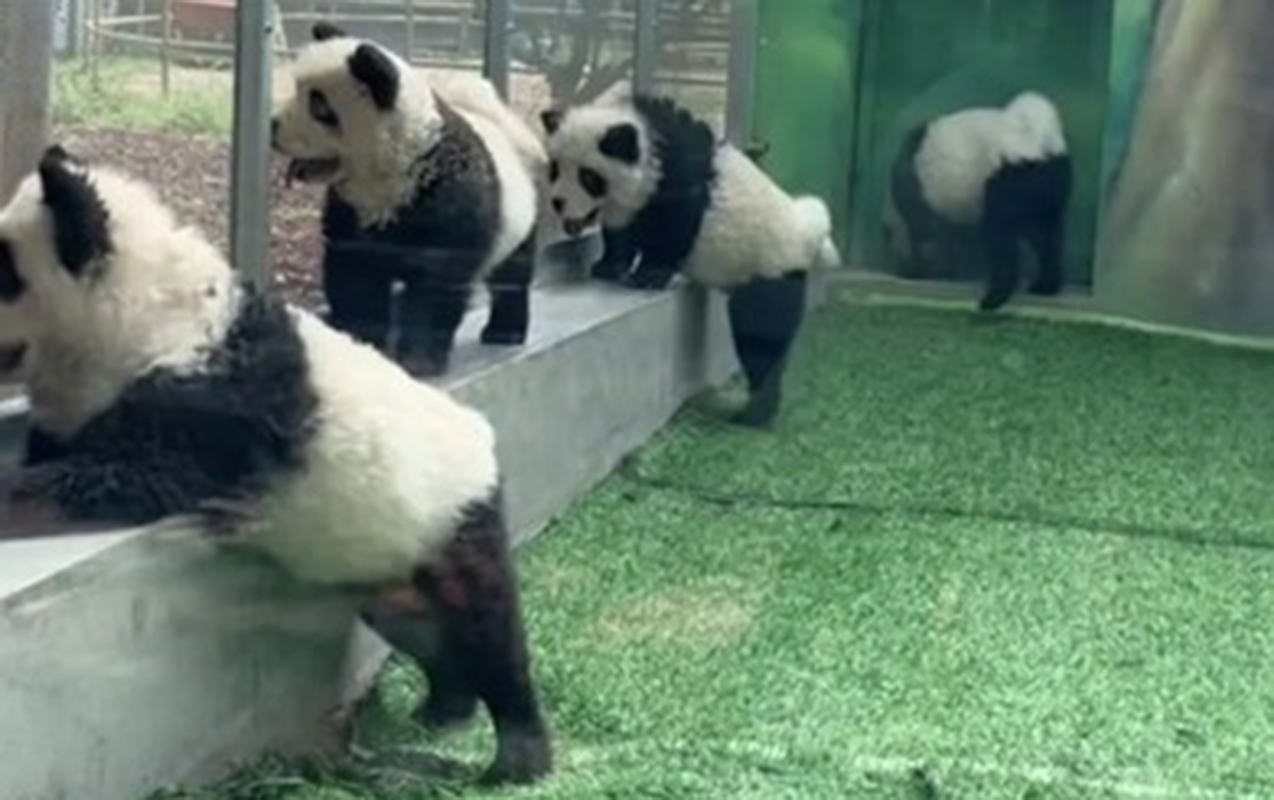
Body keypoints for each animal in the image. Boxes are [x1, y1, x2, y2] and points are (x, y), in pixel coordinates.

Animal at [0, 147, 552, 786]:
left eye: (3, 269)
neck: (143, 305)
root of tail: (482, 438)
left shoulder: (206, 402)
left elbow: (120, 479)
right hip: (388, 559)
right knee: (422, 630)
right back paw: (442, 709)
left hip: (450, 517)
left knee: (487, 627)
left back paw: (517, 756)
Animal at [271, 23, 543, 377]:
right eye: (298, 90)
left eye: (319, 106)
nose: (273, 127)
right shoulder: (350, 211)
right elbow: (356, 276)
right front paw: (363, 344)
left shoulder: (447, 200)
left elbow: (435, 284)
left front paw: (418, 361)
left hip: (523, 212)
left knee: (513, 275)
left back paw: (504, 331)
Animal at [540, 91, 840, 428]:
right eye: (555, 169)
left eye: (589, 177)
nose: (558, 202)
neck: (645, 133)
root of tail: (807, 233)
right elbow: (622, 230)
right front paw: (607, 267)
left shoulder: (680, 175)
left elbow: (675, 224)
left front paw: (648, 275)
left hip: (768, 265)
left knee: (760, 332)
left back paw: (753, 413)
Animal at [888, 91, 1072, 311]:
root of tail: (1037, 142)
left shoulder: (919, 193)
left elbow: (926, 236)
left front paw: (919, 270)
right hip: (1053, 185)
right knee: (1047, 237)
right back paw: (1045, 285)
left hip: (1005, 178)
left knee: (1000, 236)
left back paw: (994, 297)